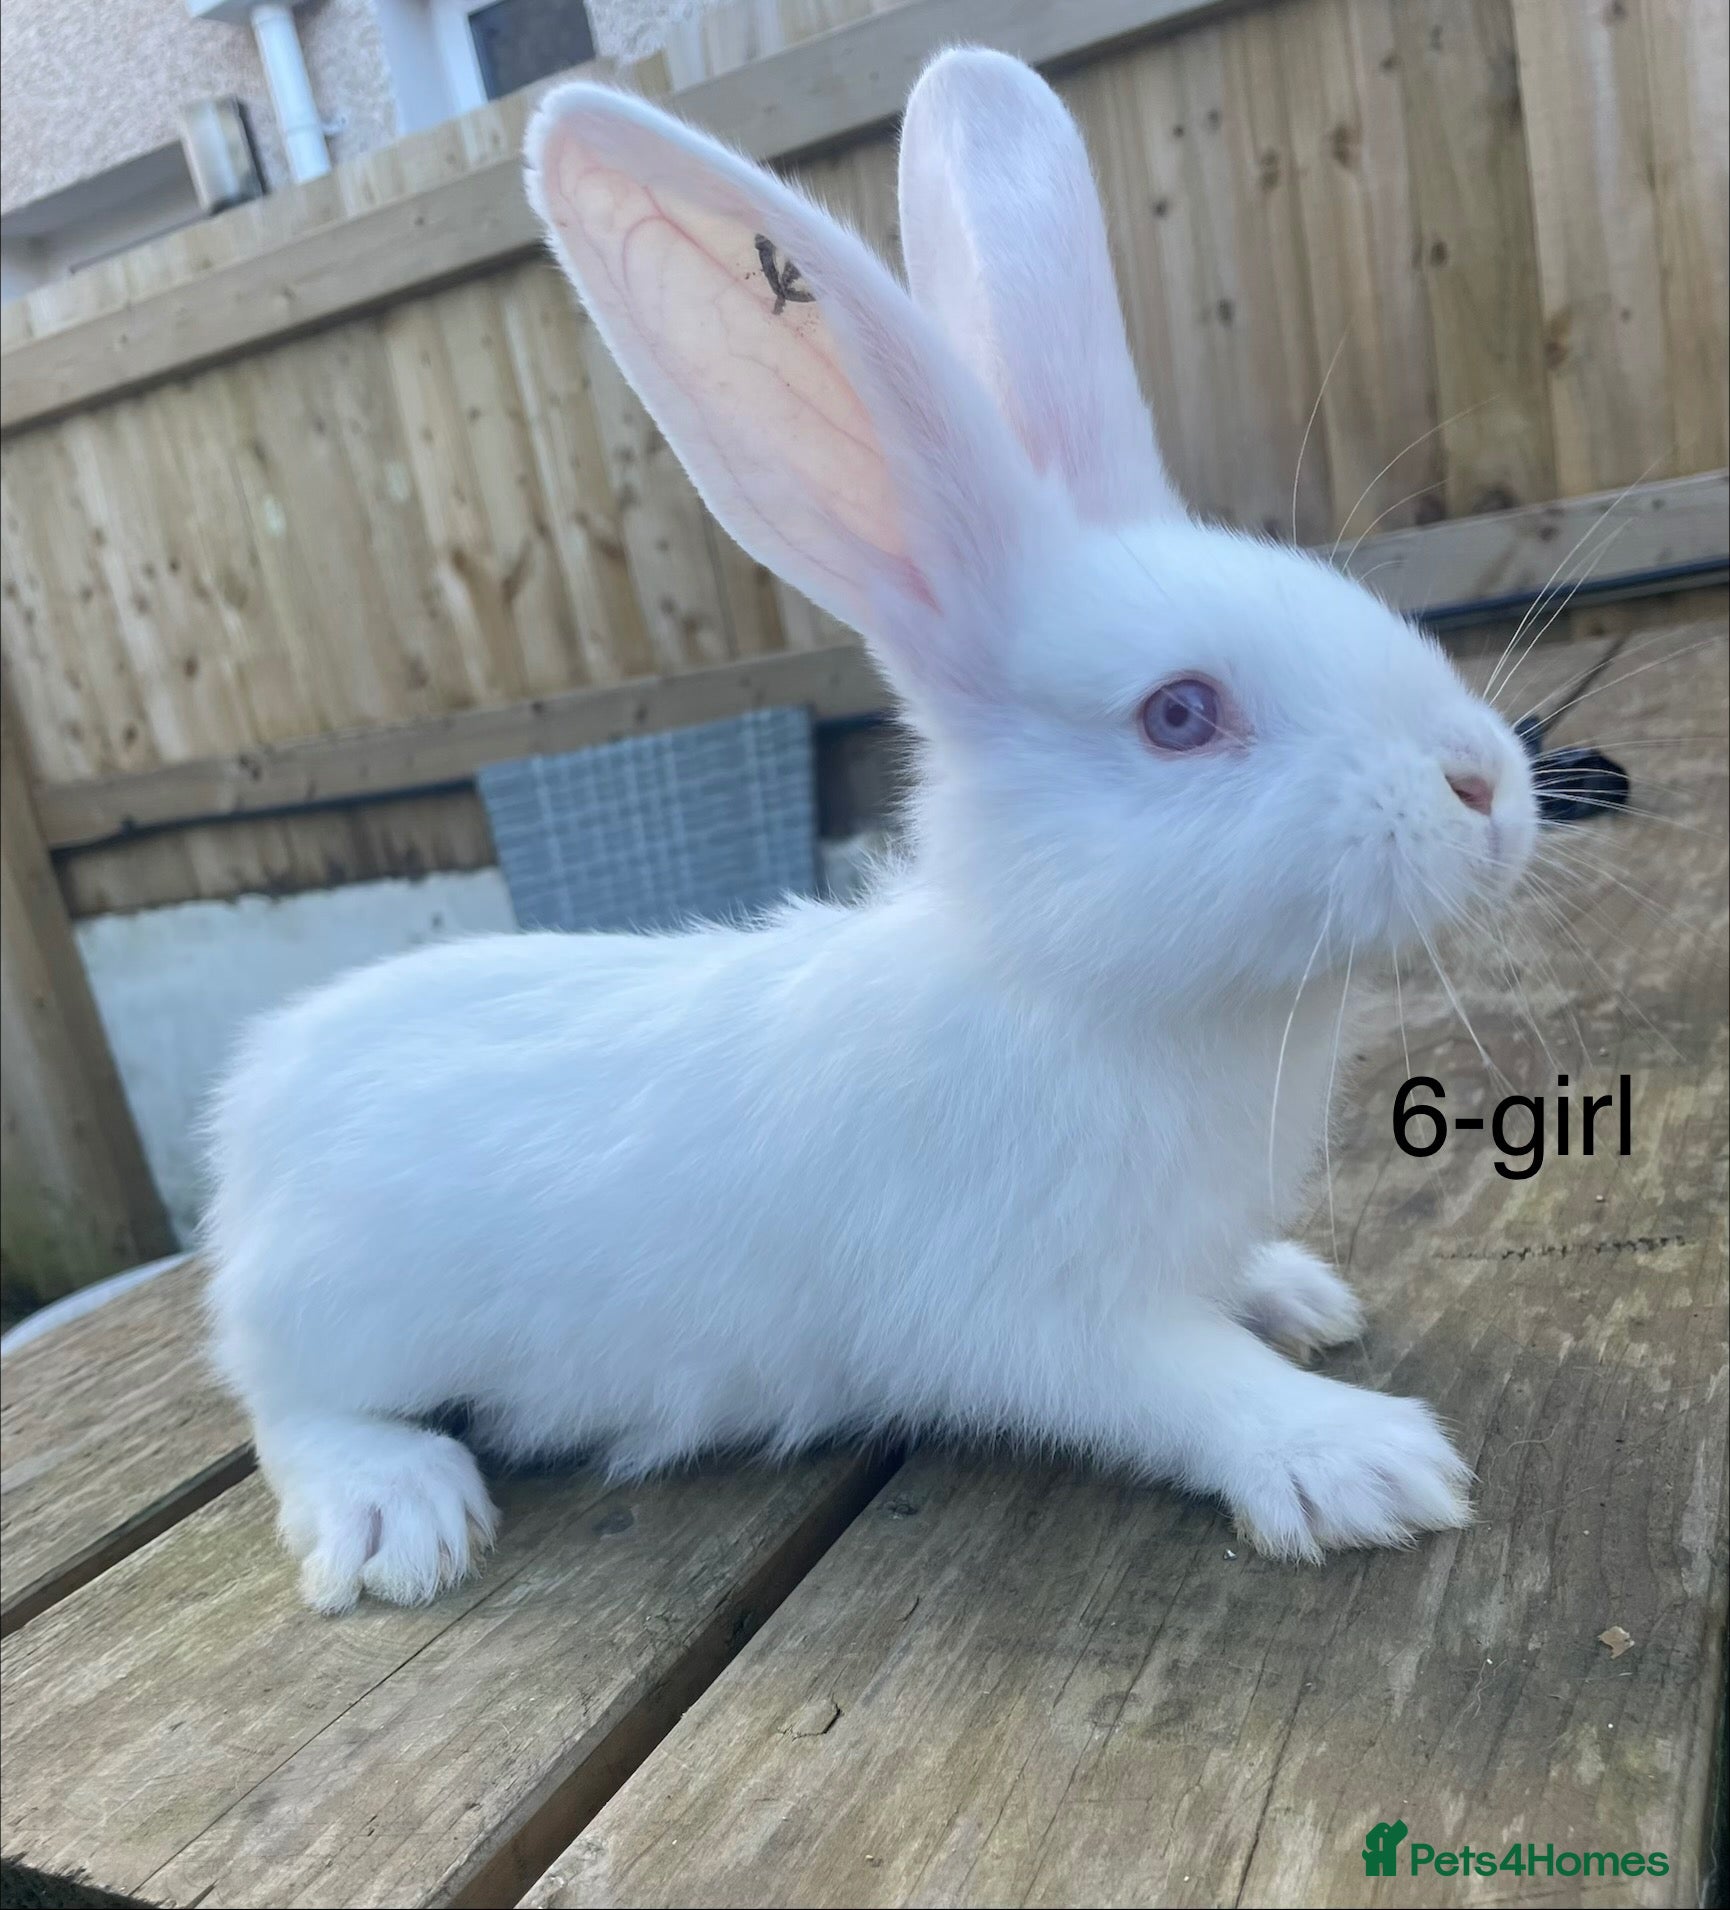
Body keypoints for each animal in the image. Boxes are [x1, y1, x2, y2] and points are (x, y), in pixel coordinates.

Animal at [204, 47, 1538, 1614]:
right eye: (1177, 714)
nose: (1485, 786)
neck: (1070, 985)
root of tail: (254, 1110)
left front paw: (1294, 1288)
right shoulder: (1025, 1306)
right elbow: (1183, 1378)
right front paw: (1360, 1458)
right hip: (333, 1319)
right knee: (284, 1405)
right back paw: (396, 1509)